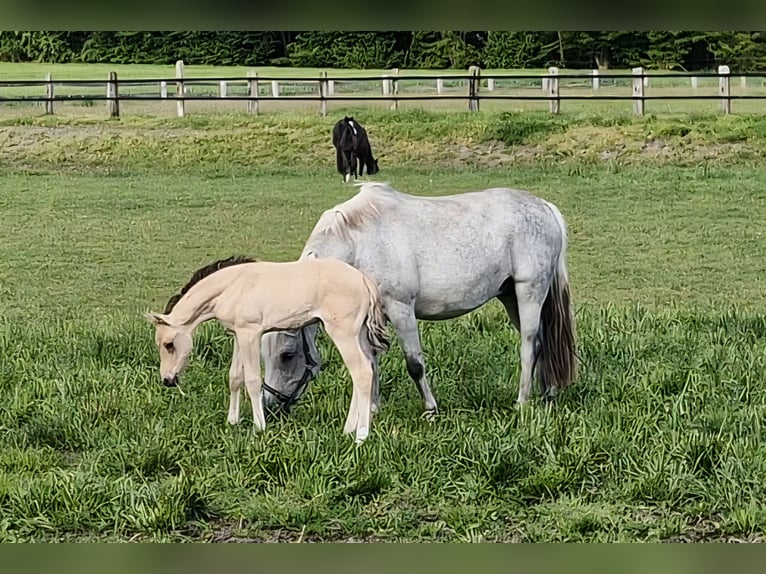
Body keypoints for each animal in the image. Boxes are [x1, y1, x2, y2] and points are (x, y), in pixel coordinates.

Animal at [144, 254, 389, 444]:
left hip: (343, 333)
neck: (233, 286)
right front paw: (232, 422)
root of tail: (363, 280)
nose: (168, 380)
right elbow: (234, 377)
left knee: (361, 373)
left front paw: (259, 428)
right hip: (359, 335)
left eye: (168, 344)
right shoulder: (238, 335)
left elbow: (253, 380)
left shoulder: (250, 333)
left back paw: (360, 436)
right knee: (368, 368)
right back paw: (349, 429)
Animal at [259, 182, 577, 417]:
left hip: (529, 292)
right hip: (511, 297)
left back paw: (522, 402)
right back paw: (547, 394)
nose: (270, 405)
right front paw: (371, 410)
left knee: (529, 345)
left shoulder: (401, 310)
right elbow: (369, 362)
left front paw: (430, 409)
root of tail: (545, 207)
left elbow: (414, 364)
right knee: (542, 343)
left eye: (287, 355)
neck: (358, 243)